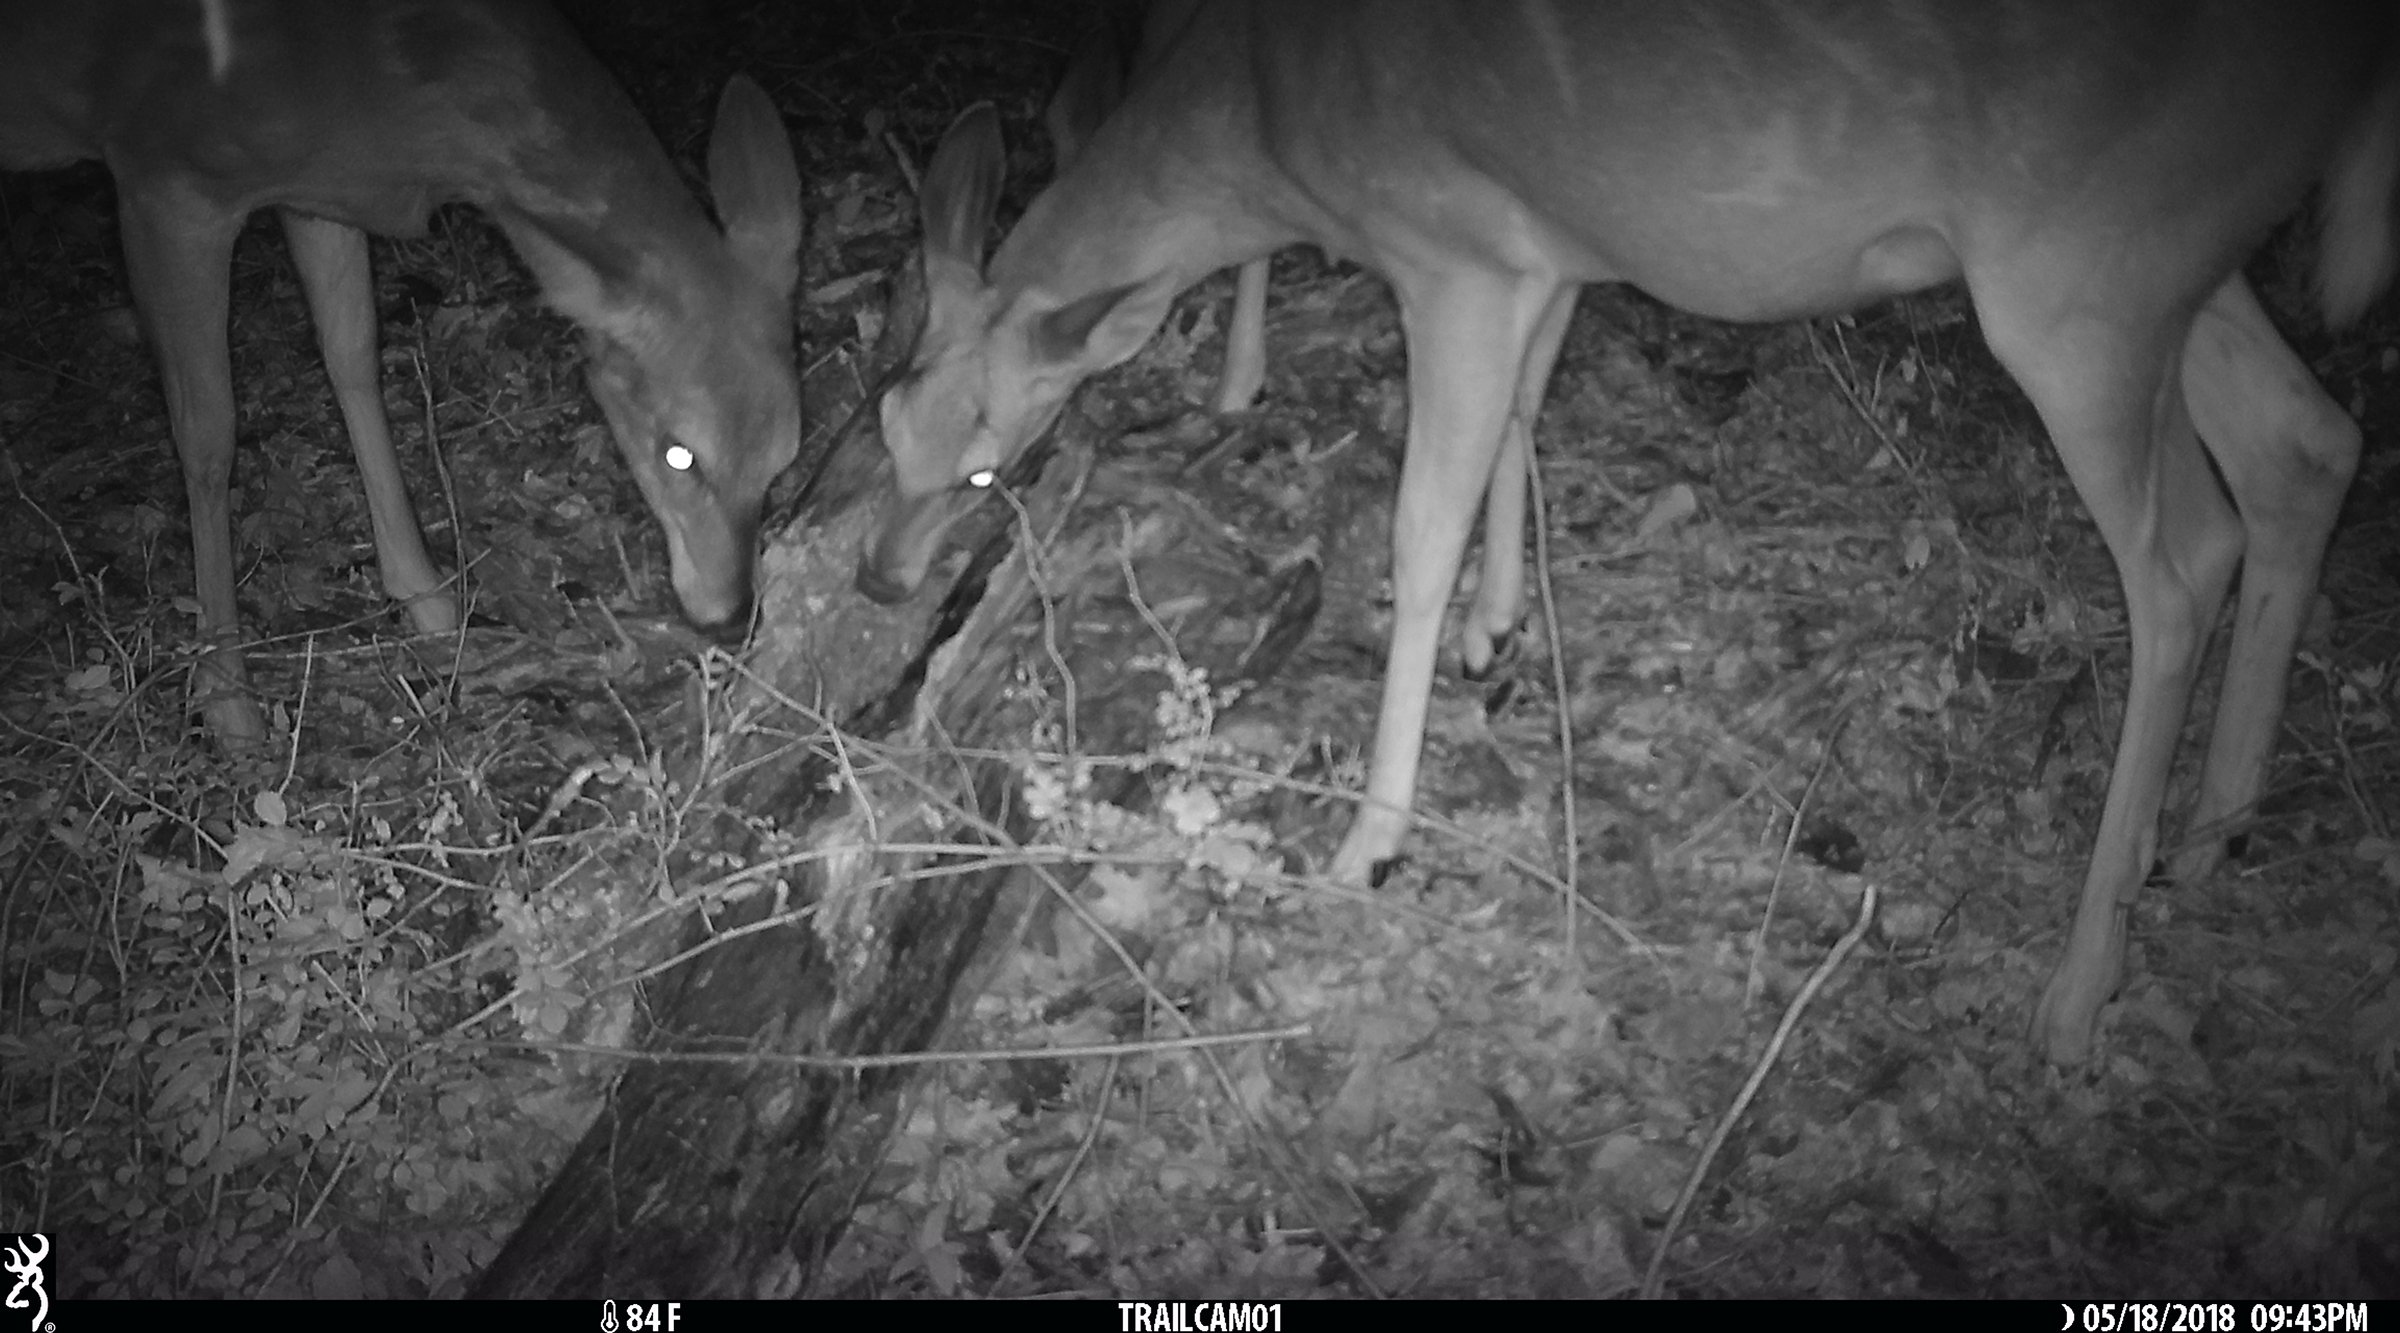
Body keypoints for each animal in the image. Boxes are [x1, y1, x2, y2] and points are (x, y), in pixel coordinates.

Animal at [0, 0, 805, 747]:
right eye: (679, 453)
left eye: (782, 464)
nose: (730, 615)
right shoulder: (165, 176)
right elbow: (208, 435)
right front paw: (225, 693)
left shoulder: (319, 189)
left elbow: (353, 354)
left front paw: (427, 596)